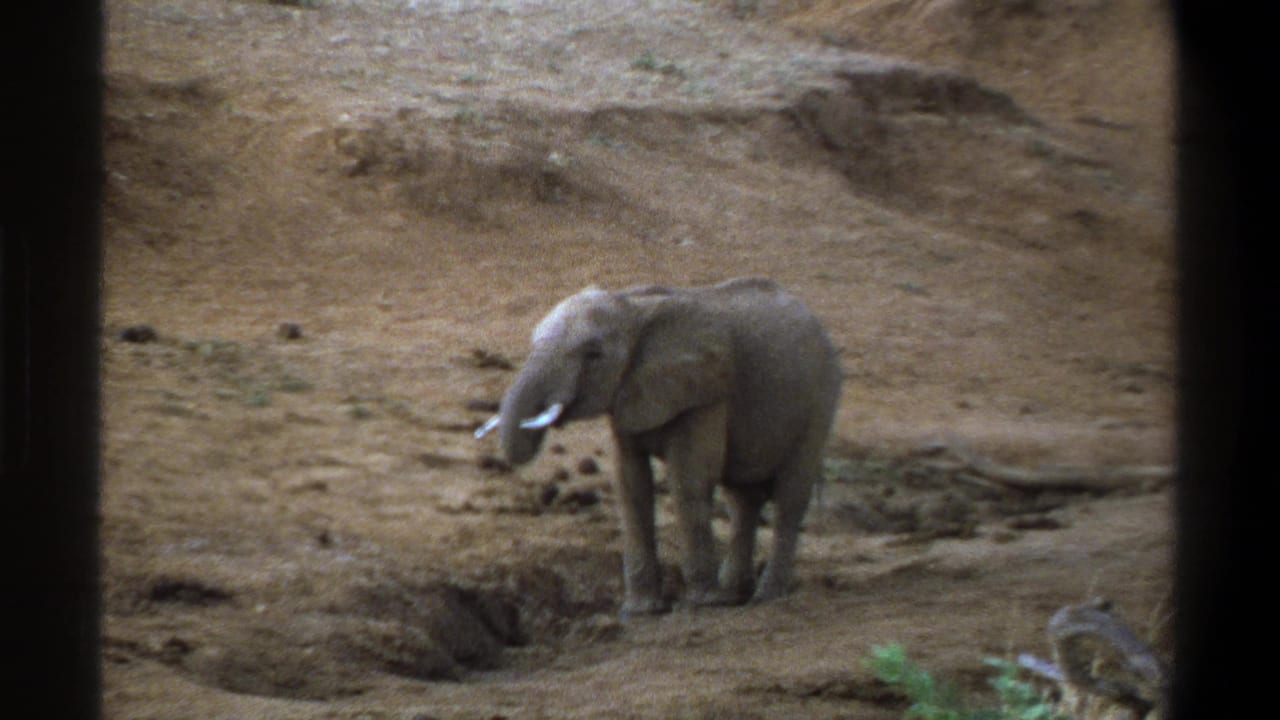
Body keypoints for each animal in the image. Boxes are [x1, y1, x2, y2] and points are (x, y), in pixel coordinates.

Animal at [475, 277, 842, 617]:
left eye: (593, 355)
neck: (631, 308)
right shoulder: (627, 392)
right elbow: (630, 483)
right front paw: (641, 611)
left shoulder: (706, 390)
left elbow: (689, 479)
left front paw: (702, 603)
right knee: (742, 499)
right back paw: (735, 594)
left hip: (820, 401)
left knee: (789, 497)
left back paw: (766, 596)